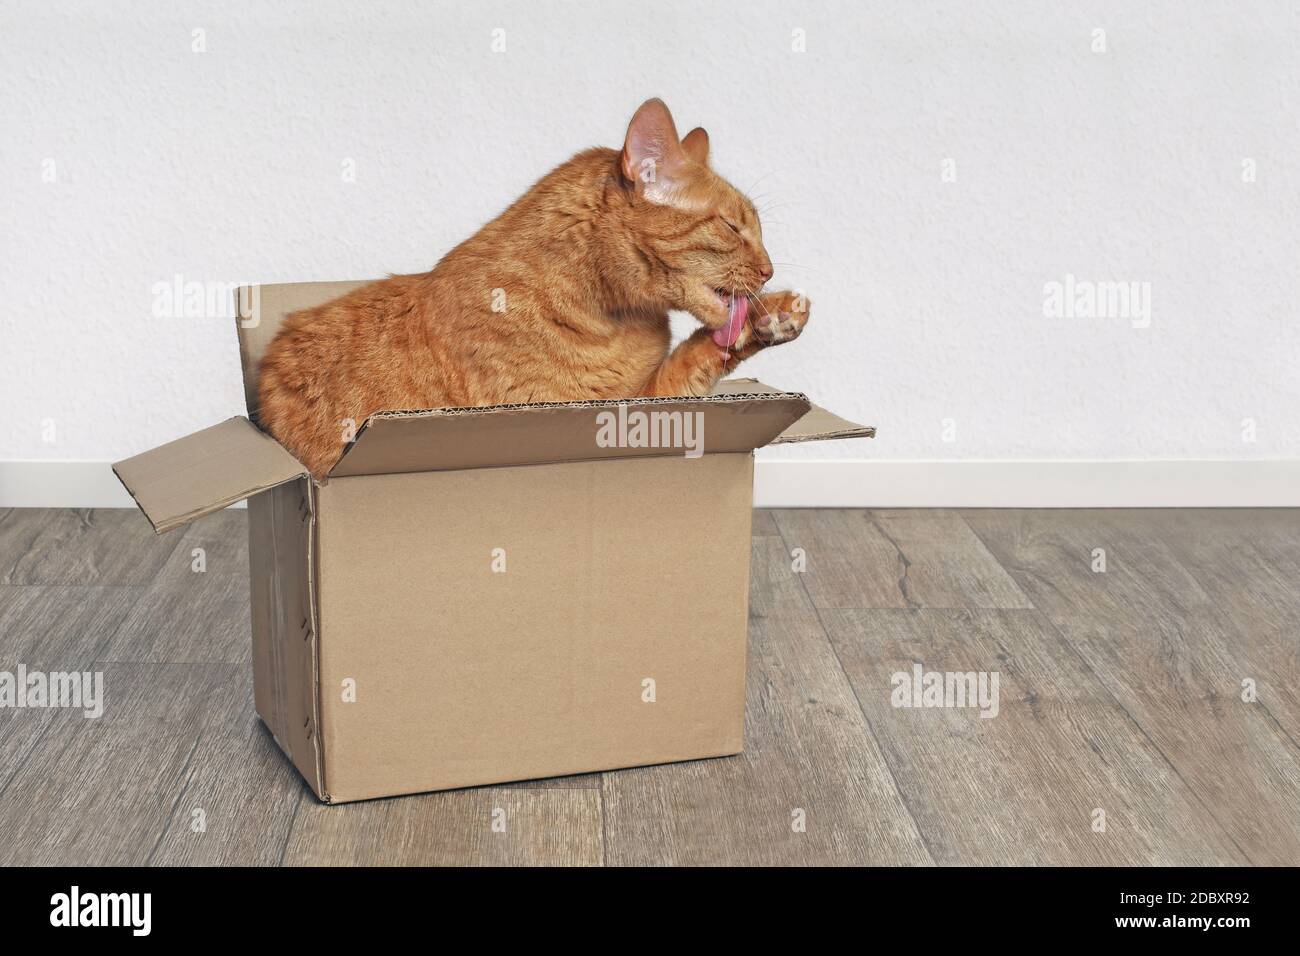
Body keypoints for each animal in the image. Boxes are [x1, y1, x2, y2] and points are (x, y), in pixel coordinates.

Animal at [257, 98, 806, 476]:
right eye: (733, 228)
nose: (768, 271)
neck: (618, 318)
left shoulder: (648, 399)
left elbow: (698, 358)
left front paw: (774, 315)